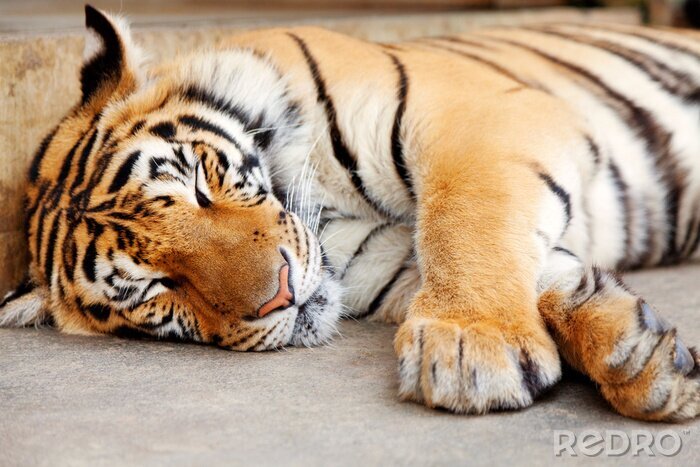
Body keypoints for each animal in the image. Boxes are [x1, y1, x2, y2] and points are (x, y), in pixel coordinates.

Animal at [1, 5, 700, 421]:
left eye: (198, 184)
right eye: (157, 288)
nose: (280, 295)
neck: (325, 213)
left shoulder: (481, 116)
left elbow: (466, 220)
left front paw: (472, 347)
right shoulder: (387, 262)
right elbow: (535, 269)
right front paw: (641, 356)